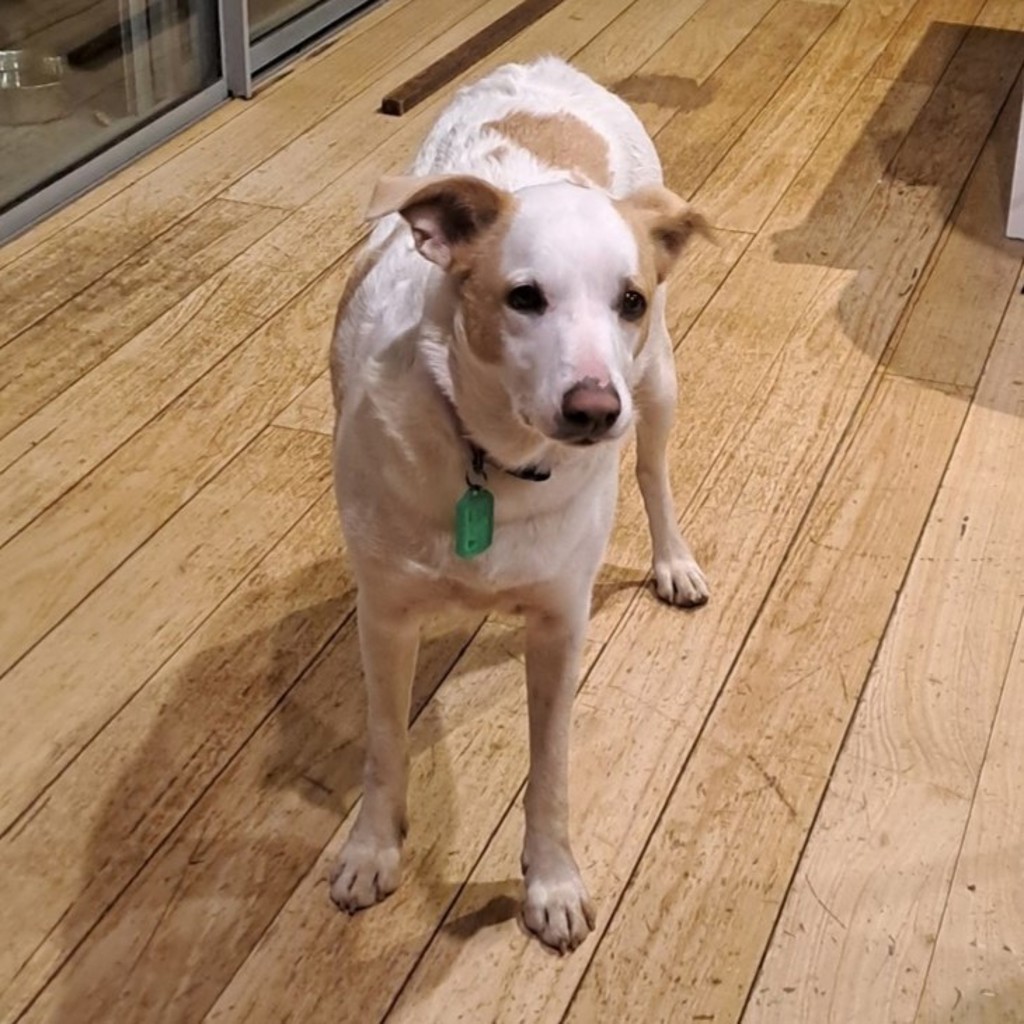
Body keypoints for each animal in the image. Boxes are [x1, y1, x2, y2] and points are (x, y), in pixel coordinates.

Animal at [328, 56, 709, 953]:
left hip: (658, 385)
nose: (594, 410)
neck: (494, 461)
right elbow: (385, 745)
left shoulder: (559, 624)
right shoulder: (384, 615)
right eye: (524, 298)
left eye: (628, 300)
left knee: (655, 473)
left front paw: (553, 881)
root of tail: (541, 68)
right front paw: (371, 847)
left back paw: (673, 561)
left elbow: (552, 768)